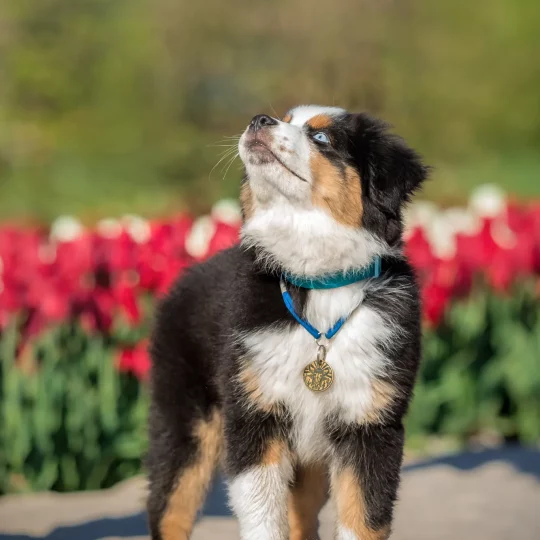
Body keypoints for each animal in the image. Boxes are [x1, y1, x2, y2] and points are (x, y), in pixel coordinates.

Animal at [146, 103, 428, 536]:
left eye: (322, 138)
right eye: (285, 118)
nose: (259, 120)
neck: (318, 284)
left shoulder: (370, 422)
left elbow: (362, 518)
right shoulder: (253, 413)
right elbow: (262, 515)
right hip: (185, 422)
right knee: (169, 509)